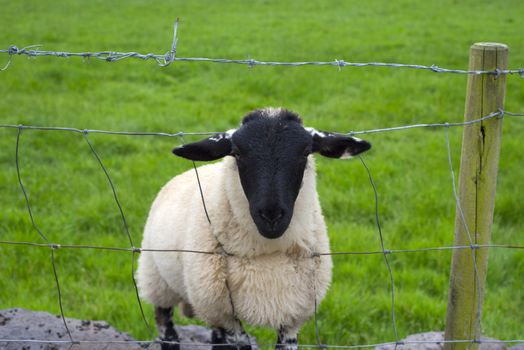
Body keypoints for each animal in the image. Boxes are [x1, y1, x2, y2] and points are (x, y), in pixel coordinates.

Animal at [136, 107, 372, 350]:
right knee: (167, 329)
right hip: (158, 281)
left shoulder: (294, 314)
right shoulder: (226, 314)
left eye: (306, 152)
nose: (271, 215)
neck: (267, 253)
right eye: (237, 153)